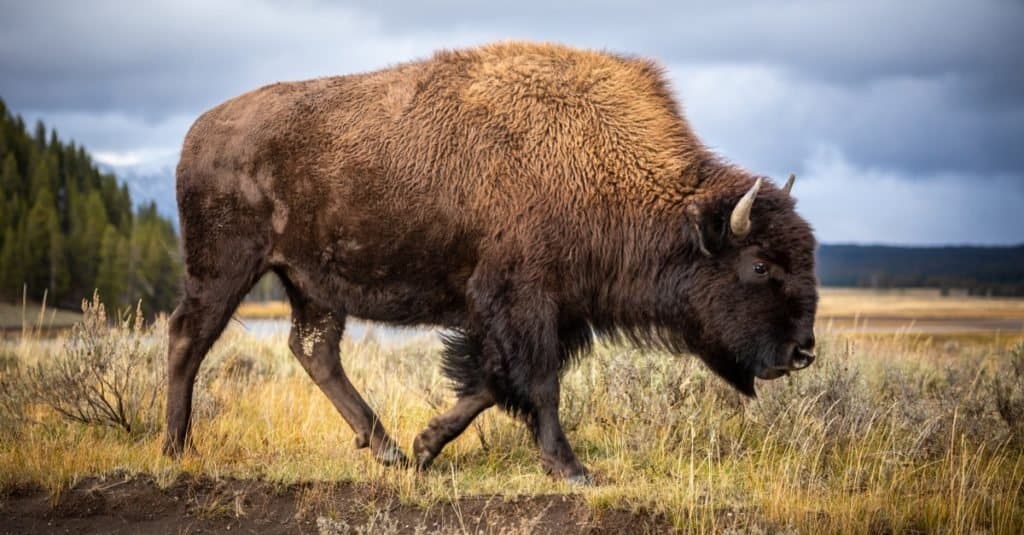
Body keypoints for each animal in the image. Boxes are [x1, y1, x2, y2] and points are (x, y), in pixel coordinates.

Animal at [163, 42, 819, 483]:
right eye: (760, 266)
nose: (803, 352)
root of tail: (198, 132)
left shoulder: (550, 312)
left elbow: (493, 381)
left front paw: (425, 446)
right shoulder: (523, 301)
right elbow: (537, 383)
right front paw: (571, 468)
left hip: (309, 284)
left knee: (314, 350)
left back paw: (387, 449)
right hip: (224, 268)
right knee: (188, 338)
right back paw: (176, 446)